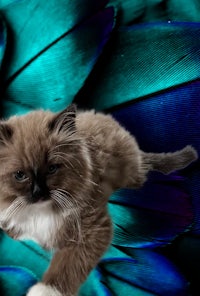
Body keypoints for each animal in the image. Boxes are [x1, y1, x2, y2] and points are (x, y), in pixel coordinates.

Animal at [0, 104, 197, 296]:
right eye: (20, 175)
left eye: (52, 169)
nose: (39, 192)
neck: (40, 211)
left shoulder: (93, 228)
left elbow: (68, 263)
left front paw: (45, 291)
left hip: (132, 176)